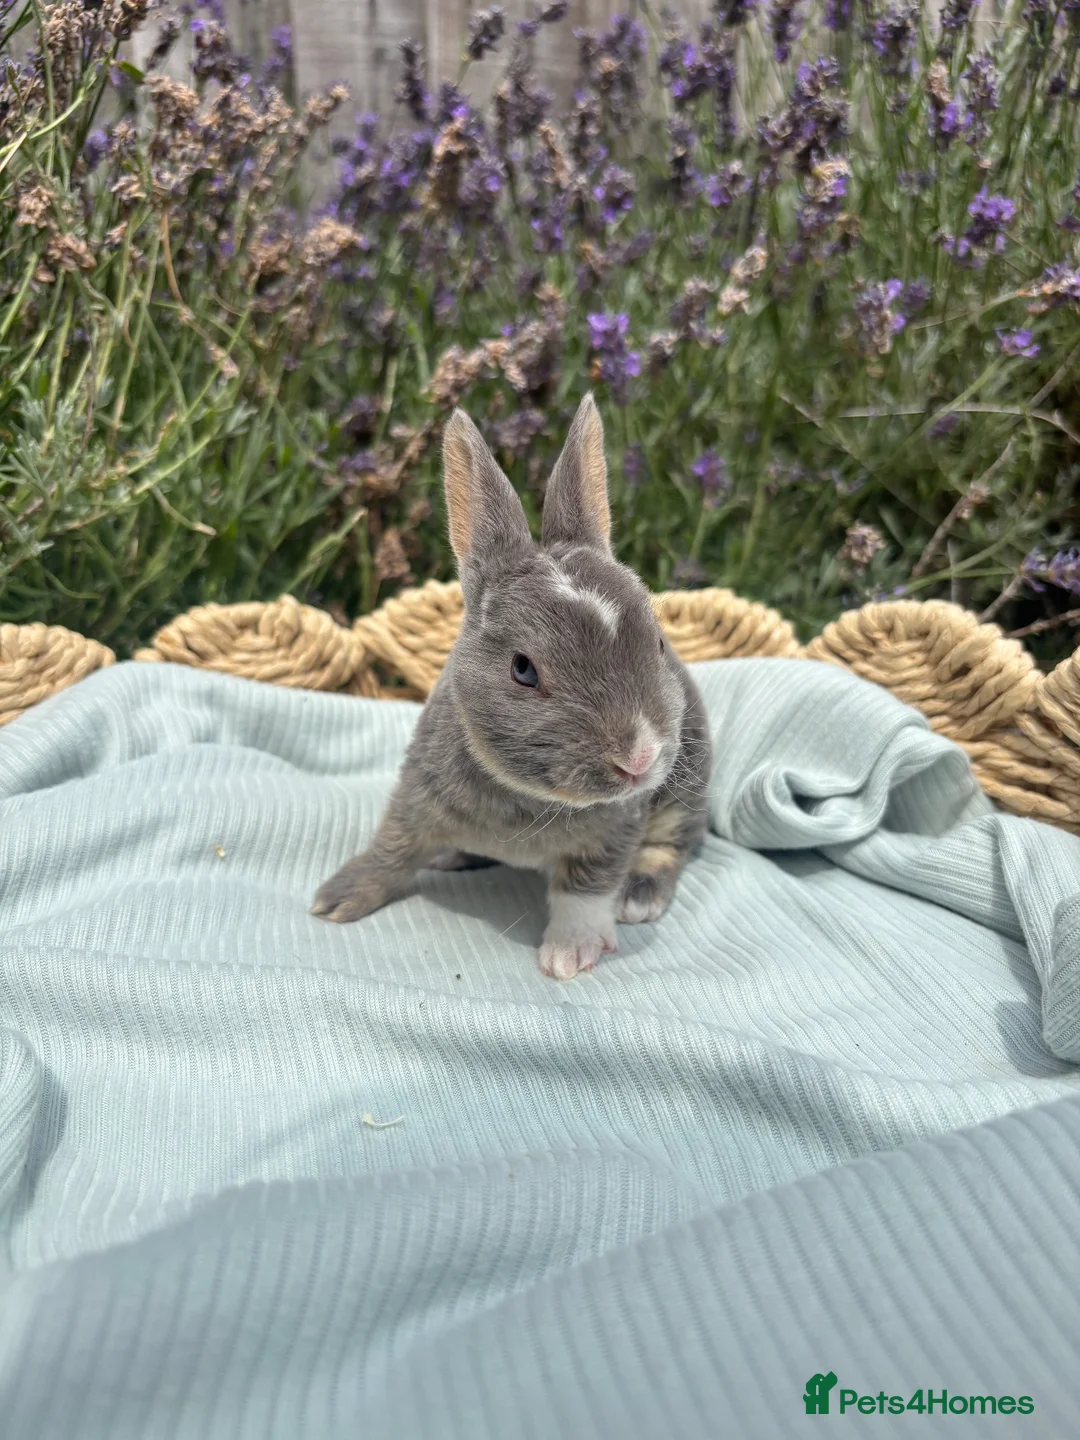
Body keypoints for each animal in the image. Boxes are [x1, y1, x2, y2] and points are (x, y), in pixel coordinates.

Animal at [311, 393, 712, 980]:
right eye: (523, 669)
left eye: (658, 644)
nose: (638, 759)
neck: (533, 799)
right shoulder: (414, 799)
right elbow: (392, 849)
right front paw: (337, 898)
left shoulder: (616, 830)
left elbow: (585, 889)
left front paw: (570, 954)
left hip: (685, 792)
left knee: (671, 844)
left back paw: (640, 895)